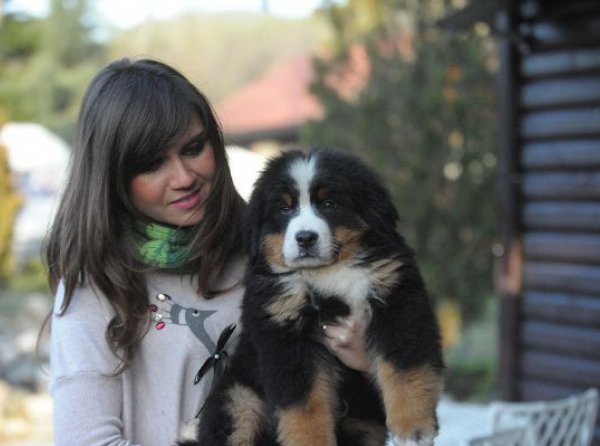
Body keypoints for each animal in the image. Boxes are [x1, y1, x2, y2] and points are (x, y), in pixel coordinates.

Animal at [189, 150, 446, 446]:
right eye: (284, 209)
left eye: (330, 204)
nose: (305, 238)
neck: (328, 272)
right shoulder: (285, 331)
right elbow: (305, 401)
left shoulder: (397, 300)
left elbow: (405, 367)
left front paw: (413, 428)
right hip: (238, 398)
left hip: (364, 427)